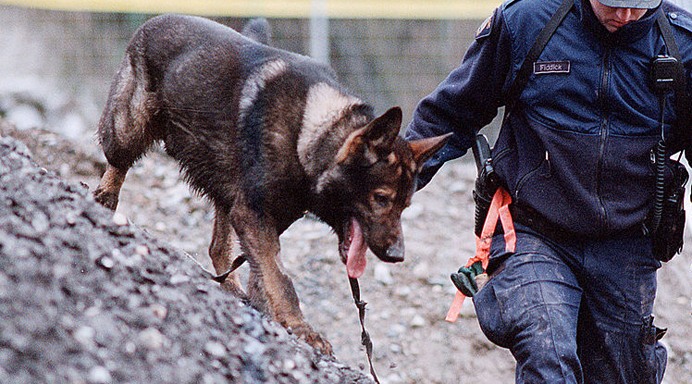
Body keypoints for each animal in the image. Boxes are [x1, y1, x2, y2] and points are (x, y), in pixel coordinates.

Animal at [93, 15, 448, 354]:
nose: (397, 255)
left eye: (405, 206)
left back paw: (232, 288)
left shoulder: (264, 217)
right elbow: (280, 278)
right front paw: (301, 327)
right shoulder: (253, 215)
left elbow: (263, 273)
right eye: (381, 198)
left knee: (218, 247)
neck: (309, 133)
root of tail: (154, 20)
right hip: (128, 131)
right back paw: (104, 201)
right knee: (116, 166)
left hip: (228, 191)